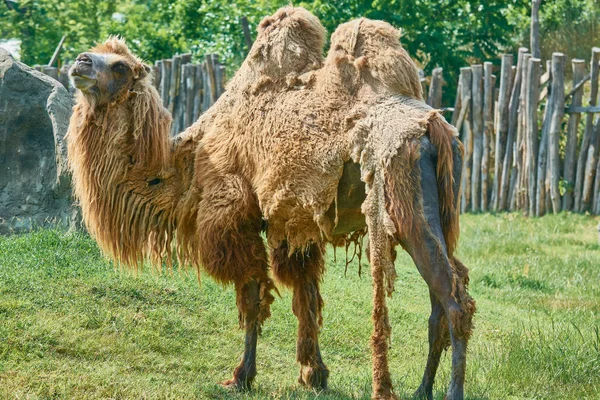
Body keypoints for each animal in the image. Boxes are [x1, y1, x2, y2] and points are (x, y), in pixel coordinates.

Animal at [65, 7, 476, 400]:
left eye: (120, 66)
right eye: (96, 52)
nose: (81, 62)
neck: (191, 163)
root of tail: (435, 127)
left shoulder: (236, 220)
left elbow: (252, 298)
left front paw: (241, 377)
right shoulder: (295, 227)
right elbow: (306, 296)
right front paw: (314, 375)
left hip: (403, 202)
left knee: (454, 298)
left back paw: (451, 392)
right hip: (440, 212)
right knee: (441, 298)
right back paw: (422, 390)